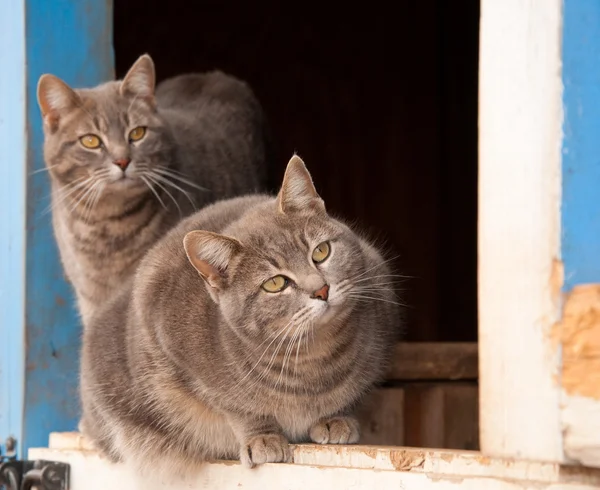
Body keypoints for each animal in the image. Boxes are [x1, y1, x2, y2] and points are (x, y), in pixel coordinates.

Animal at [36, 53, 268, 328]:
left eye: (137, 133)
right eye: (90, 141)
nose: (122, 160)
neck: (107, 225)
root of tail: (212, 74)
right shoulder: (89, 298)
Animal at [78, 155, 398, 476]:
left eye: (321, 252)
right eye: (275, 283)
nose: (321, 290)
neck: (315, 357)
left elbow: (350, 393)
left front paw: (335, 417)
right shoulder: (177, 352)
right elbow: (239, 408)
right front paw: (262, 437)